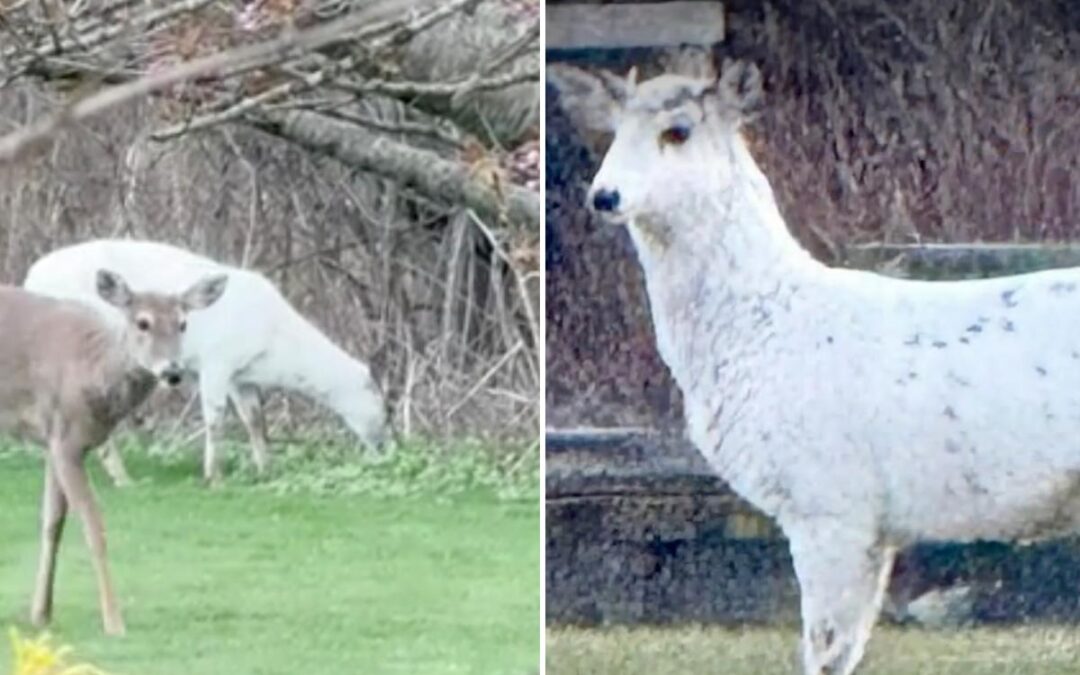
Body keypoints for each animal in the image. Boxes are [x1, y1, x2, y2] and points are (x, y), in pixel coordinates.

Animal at [0, 269, 227, 635]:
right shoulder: (66, 439)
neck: (92, 371)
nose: (173, 371)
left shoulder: (51, 440)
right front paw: (114, 621)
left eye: (183, 323)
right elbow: (94, 526)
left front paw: (40, 613)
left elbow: (52, 522)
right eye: (143, 322)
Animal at [24, 239, 389, 485]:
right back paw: (120, 476)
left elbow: (255, 420)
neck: (275, 349)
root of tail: (30, 278)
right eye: (382, 405)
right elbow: (215, 418)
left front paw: (265, 469)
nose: (386, 445)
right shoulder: (217, 360)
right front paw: (213, 476)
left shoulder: (242, 376)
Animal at [550, 53, 1080, 674]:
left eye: (676, 131)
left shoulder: (830, 503)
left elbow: (825, 651)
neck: (765, 326)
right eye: (614, 131)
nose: (604, 195)